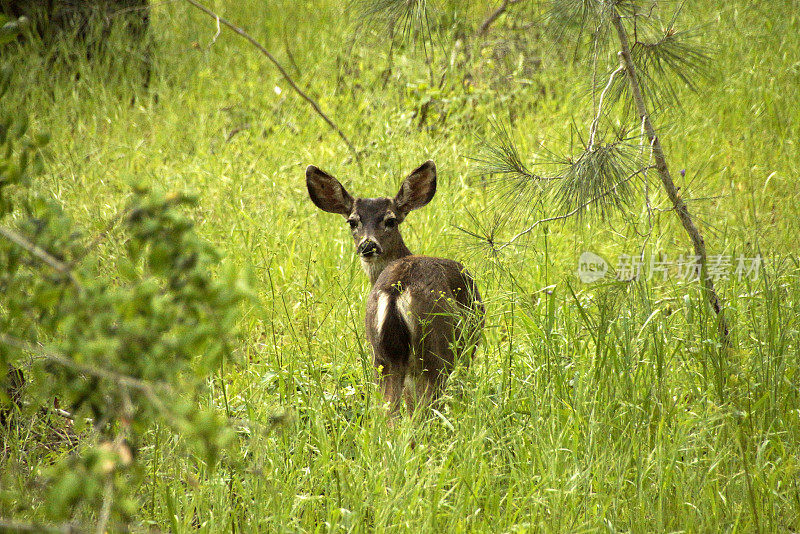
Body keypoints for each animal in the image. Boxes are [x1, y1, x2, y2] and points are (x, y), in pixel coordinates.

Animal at [304, 159, 482, 414]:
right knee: (424, 408)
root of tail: (395, 292)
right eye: (352, 221)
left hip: (381, 356)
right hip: (435, 350)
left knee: (388, 410)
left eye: (390, 220)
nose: (368, 245)